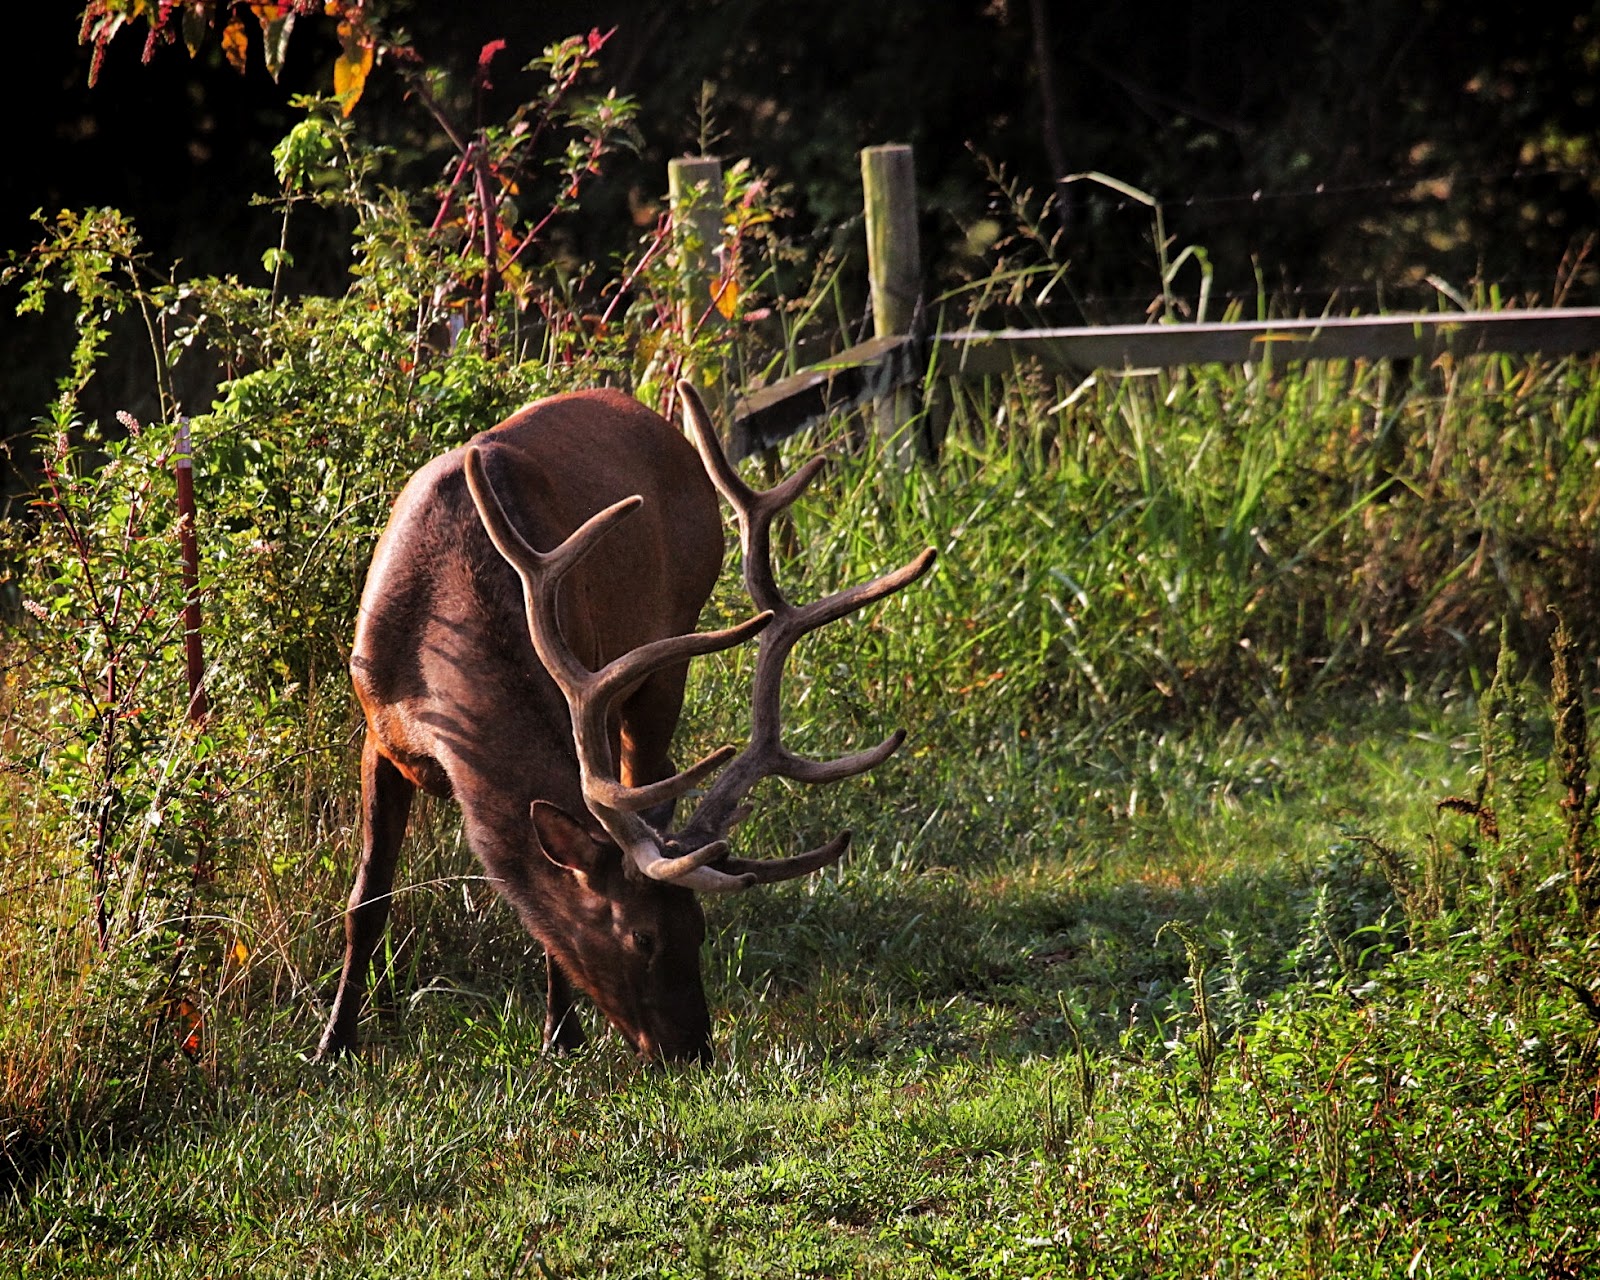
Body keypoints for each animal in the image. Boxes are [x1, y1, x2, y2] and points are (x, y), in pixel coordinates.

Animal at [316, 380, 935, 1064]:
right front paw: (337, 1039)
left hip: (663, 659)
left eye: (699, 929)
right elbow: (368, 896)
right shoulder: (379, 731)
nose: (693, 1050)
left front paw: (561, 1035)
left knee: (655, 770)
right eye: (642, 937)